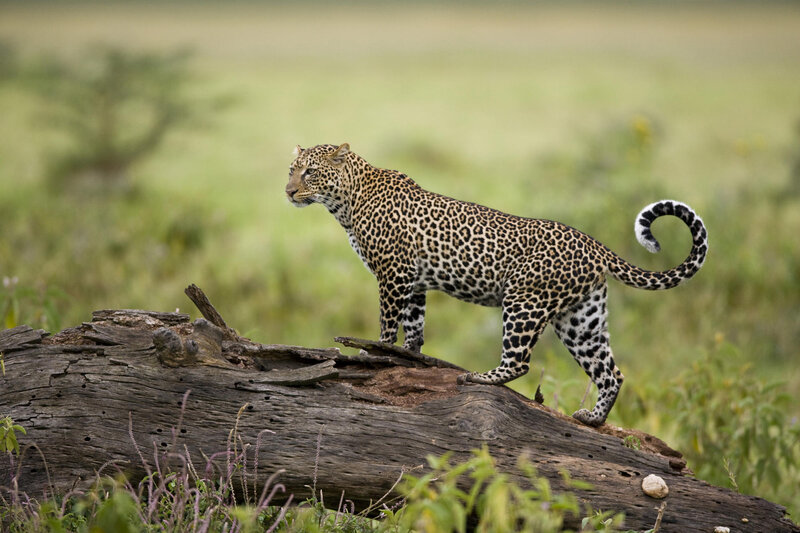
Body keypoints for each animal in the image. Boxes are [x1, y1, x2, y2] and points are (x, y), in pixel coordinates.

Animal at [285, 143, 708, 426]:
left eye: (310, 173)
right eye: (291, 169)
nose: (288, 192)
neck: (346, 202)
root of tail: (594, 244)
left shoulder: (393, 274)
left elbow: (388, 324)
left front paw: (373, 355)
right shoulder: (415, 281)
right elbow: (415, 326)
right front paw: (408, 356)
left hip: (524, 301)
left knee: (520, 362)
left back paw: (480, 376)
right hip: (580, 319)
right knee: (610, 372)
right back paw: (593, 418)